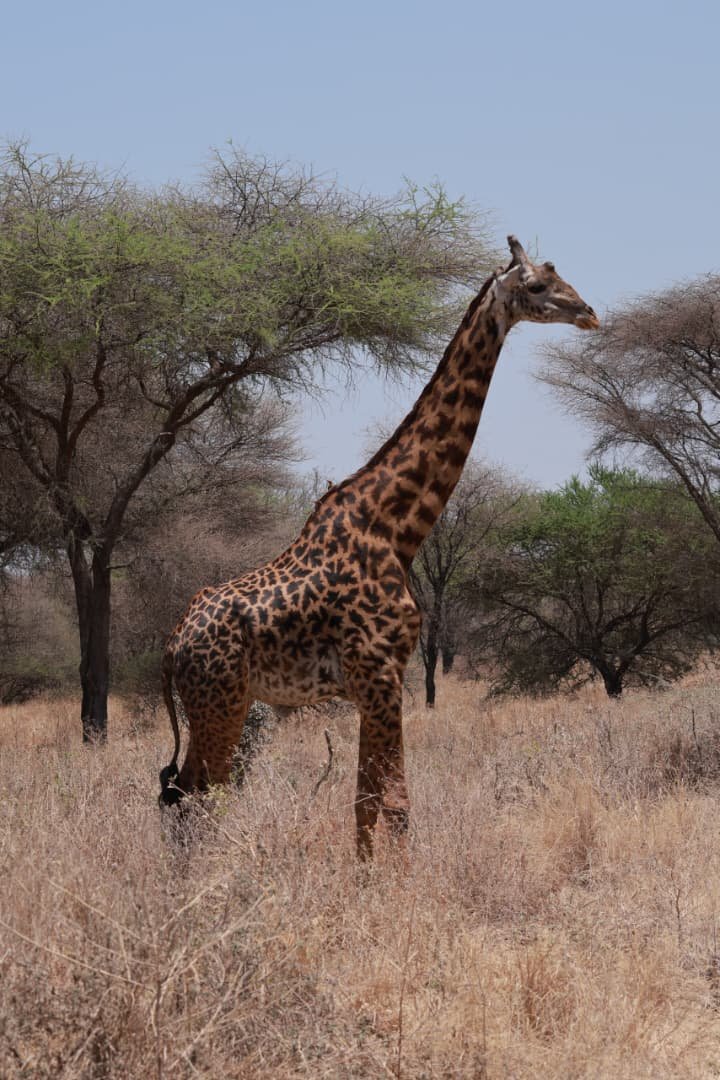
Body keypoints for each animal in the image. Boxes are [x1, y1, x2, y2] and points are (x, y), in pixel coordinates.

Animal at [159, 236, 599, 859]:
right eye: (537, 285)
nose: (588, 312)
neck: (396, 528)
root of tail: (172, 645)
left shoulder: (378, 682)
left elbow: (367, 807)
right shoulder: (380, 674)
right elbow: (394, 806)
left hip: (221, 704)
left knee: (181, 793)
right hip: (219, 701)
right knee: (199, 797)